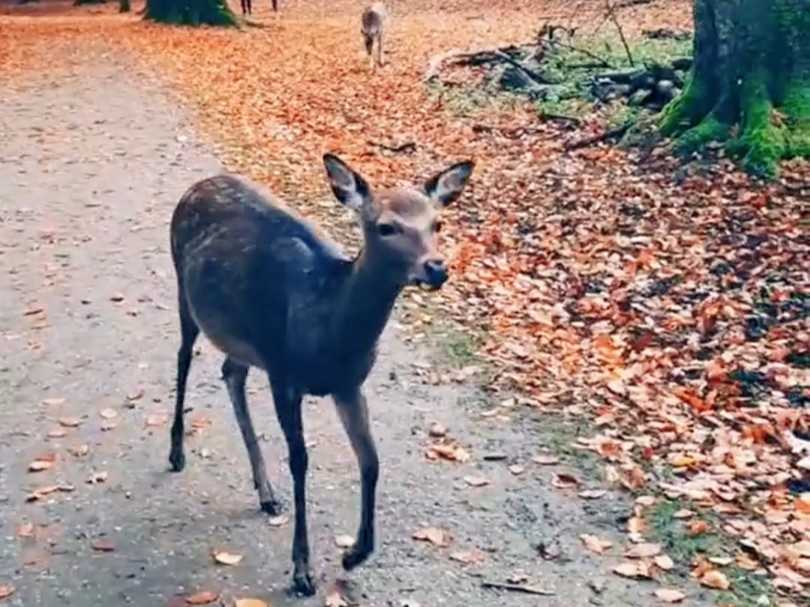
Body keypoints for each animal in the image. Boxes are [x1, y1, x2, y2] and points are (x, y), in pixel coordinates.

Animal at [170, 154, 474, 596]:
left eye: (437, 223)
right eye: (386, 226)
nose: (436, 268)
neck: (332, 333)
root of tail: (196, 187)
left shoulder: (348, 384)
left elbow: (371, 460)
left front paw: (355, 554)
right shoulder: (284, 374)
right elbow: (300, 461)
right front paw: (301, 571)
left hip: (246, 339)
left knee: (230, 372)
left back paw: (265, 491)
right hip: (185, 290)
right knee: (183, 359)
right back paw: (177, 453)